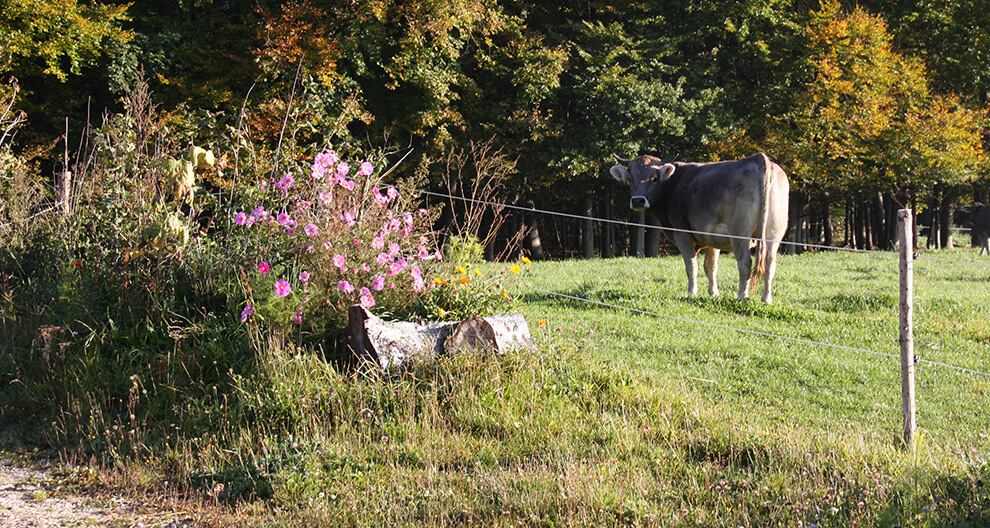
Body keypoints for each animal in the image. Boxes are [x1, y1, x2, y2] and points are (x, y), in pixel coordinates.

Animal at [610, 152, 789, 303]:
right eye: (630, 179)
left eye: (654, 178)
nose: (638, 200)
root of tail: (758, 158)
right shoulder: (713, 238)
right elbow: (710, 266)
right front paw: (714, 293)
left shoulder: (682, 234)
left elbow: (691, 265)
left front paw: (692, 292)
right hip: (774, 231)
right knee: (770, 261)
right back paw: (766, 298)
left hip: (740, 233)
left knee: (745, 261)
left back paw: (742, 296)